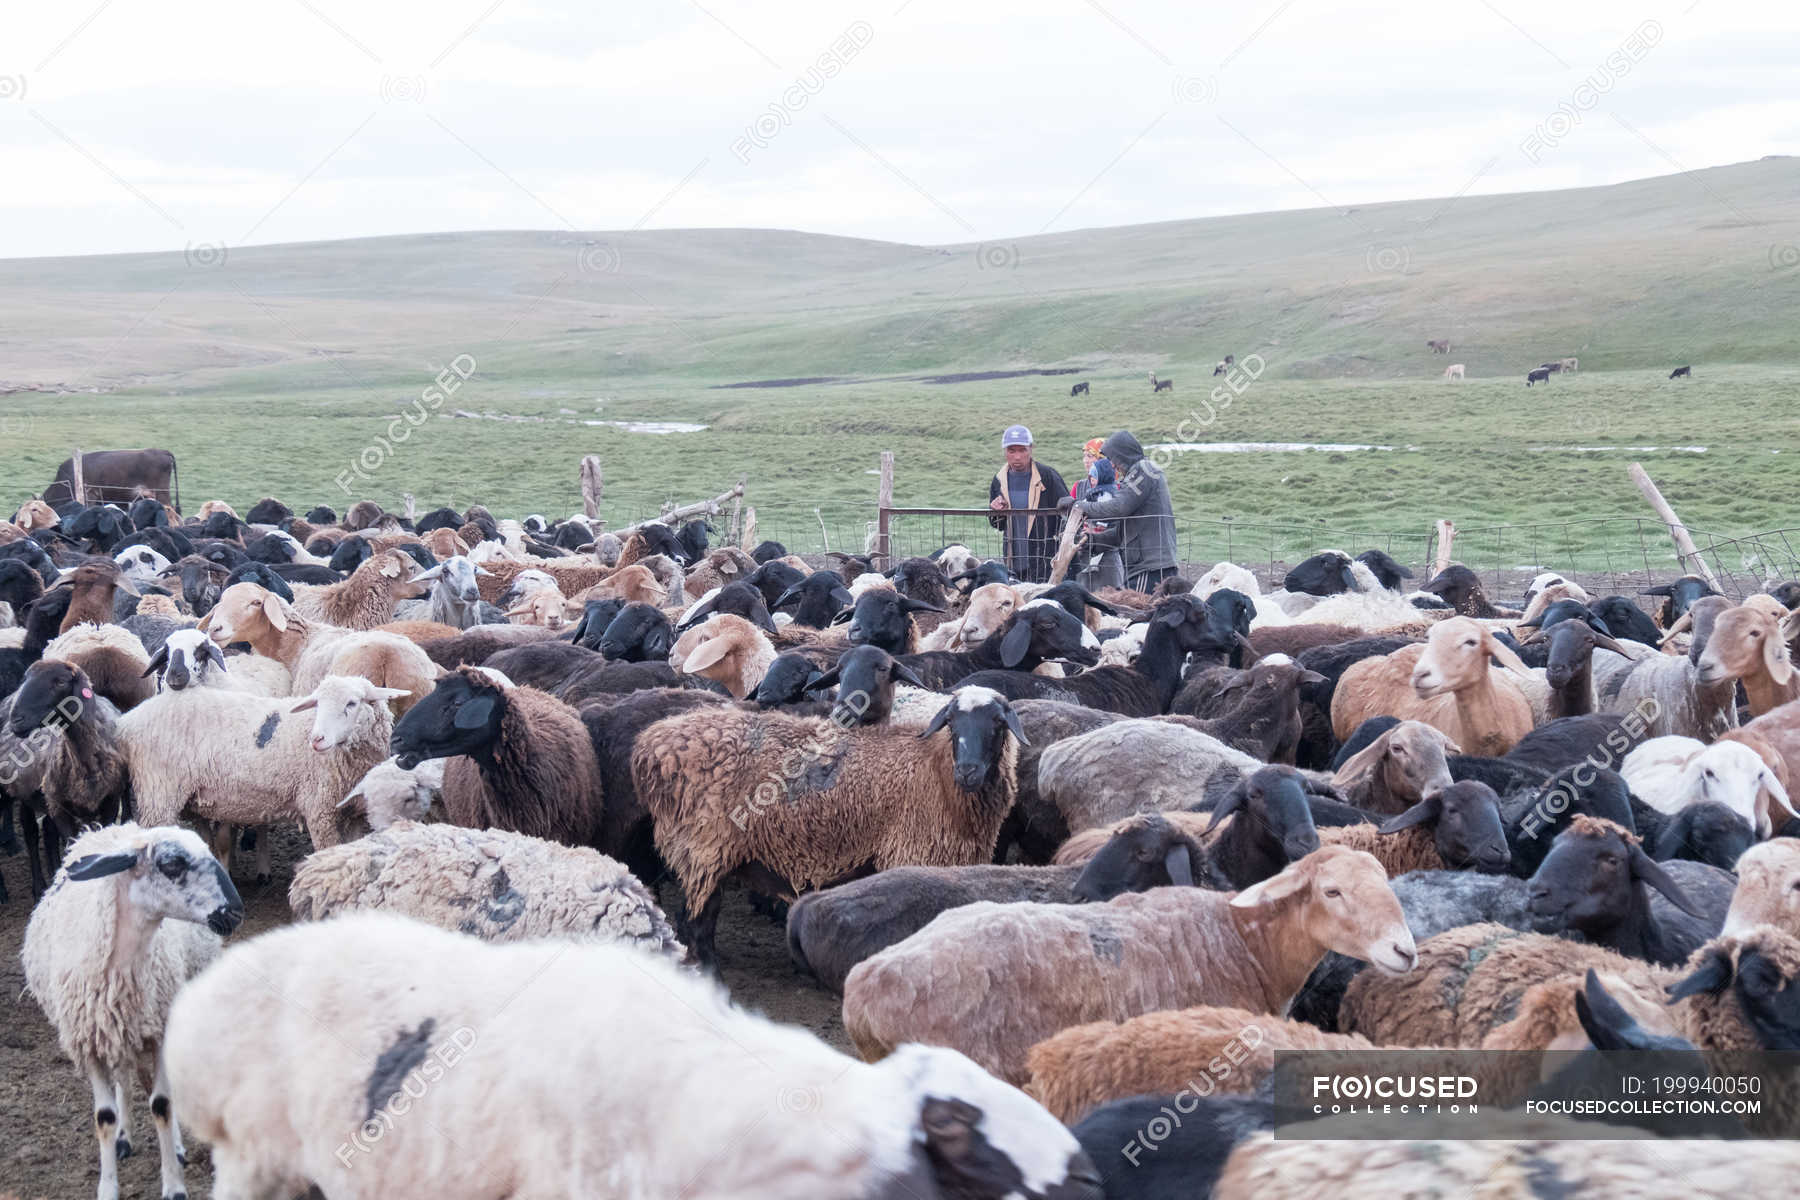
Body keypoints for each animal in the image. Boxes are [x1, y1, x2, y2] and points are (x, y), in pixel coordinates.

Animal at [22, 820, 243, 1200]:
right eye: (172, 864)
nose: (235, 912)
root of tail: (116, 828)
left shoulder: (159, 1031)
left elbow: (162, 1105)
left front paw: (174, 1185)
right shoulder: (90, 1043)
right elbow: (104, 1116)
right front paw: (108, 1185)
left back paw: (176, 1146)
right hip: (118, 1032)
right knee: (123, 1079)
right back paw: (124, 1138)